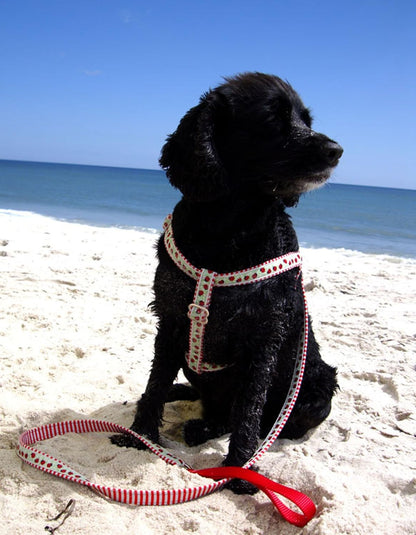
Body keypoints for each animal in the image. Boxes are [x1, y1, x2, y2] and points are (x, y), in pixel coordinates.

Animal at [112, 73, 342, 496]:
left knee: (260, 420)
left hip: (317, 386)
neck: (228, 228)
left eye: (307, 119)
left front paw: (240, 469)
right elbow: (154, 384)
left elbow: (249, 410)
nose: (336, 150)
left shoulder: (264, 338)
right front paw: (139, 436)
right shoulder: (171, 322)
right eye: (273, 119)